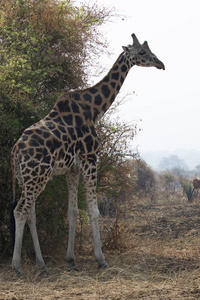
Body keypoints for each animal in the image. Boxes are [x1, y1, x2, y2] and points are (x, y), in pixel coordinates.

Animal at [10, 34, 164, 276]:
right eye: (141, 52)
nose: (161, 64)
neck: (94, 109)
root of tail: (16, 152)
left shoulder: (71, 169)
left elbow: (72, 211)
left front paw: (71, 260)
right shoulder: (91, 159)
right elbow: (93, 210)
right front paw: (101, 259)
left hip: (27, 178)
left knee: (30, 213)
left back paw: (42, 264)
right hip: (37, 176)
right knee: (20, 211)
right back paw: (17, 266)